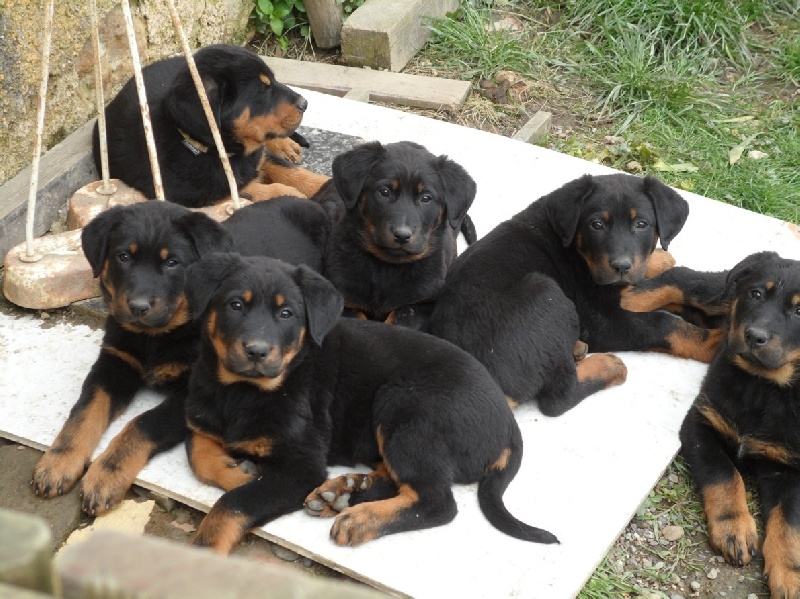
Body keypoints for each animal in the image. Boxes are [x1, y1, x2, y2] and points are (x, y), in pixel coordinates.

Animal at [31, 203, 231, 516]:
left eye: (172, 262)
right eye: (123, 256)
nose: (138, 307)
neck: (153, 337)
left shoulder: (193, 394)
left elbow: (141, 424)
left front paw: (106, 474)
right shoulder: (112, 365)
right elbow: (85, 412)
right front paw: (58, 462)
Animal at [94, 43, 328, 207]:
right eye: (262, 90)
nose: (305, 104)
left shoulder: (256, 157)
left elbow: (292, 172)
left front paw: (324, 183)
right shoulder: (201, 195)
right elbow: (257, 190)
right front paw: (294, 196)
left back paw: (285, 145)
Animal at [183, 253, 556, 552]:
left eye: (286, 313)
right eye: (235, 305)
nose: (257, 351)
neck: (241, 391)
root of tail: (508, 424)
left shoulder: (301, 466)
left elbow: (231, 504)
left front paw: (203, 551)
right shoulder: (200, 419)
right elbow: (198, 454)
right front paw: (237, 471)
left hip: (406, 407)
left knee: (436, 502)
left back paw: (358, 518)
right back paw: (344, 491)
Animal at [428, 173, 720, 418]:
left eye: (641, 224)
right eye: (596, 225)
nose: (621, 266)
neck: (578, 251)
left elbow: (644, 289)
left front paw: (659, 259)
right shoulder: (601, 322)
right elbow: (661, 323)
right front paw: (712, 342)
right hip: (547, 293)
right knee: (558, 399)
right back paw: (607, 365)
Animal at [680, 253, 800, 599]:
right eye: (755, 294)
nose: (753, 336)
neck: (762, 385)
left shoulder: (789, 466)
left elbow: (788, 522)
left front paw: (789, 575)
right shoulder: (701, 423)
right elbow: (724, 475)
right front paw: (734, 529)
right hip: (716, 294)